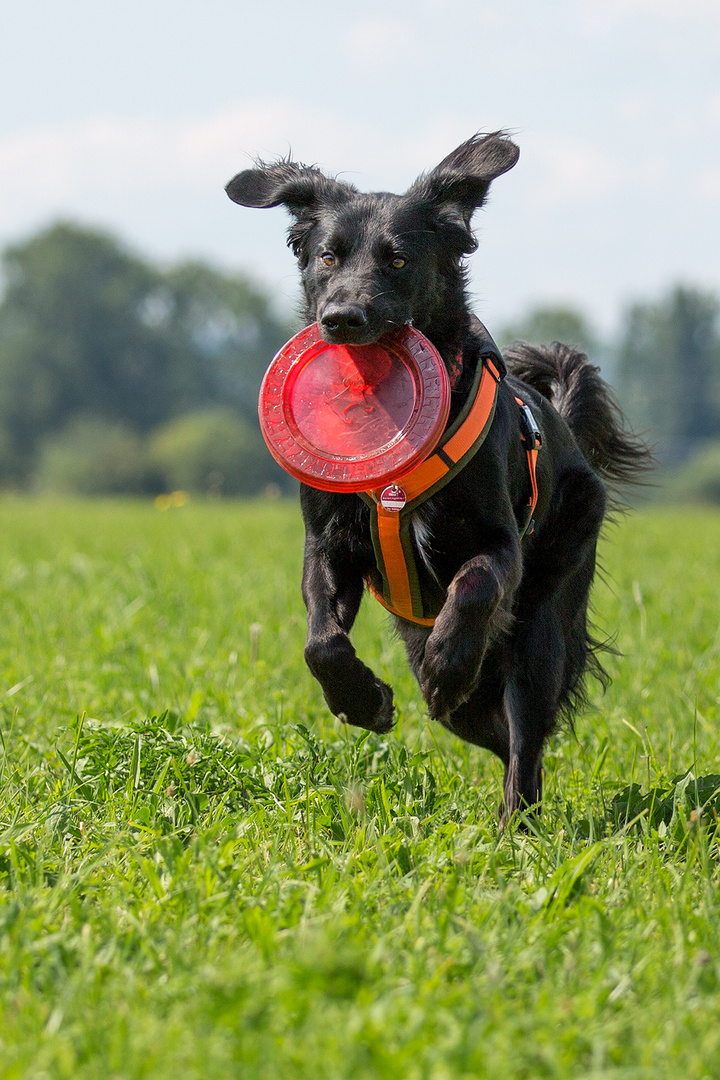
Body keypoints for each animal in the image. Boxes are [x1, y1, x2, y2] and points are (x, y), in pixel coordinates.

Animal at [225, 137, 647, 825]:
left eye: (397, 259)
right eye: (327, 256)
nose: (341, 318)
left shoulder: (500, 546)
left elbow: (474, 586)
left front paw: (448, 664)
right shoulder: (328, 544)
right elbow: (321, 643)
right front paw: (363, 702)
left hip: (540, 624)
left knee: (525, 734)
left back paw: (512, 820)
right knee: (497, 733)